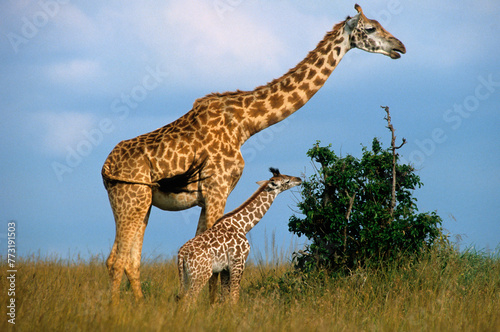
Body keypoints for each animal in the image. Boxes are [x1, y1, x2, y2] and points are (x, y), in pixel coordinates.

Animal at [177, 169, 300, 304]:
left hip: (186, 275)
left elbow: (224, 296)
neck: (243, 226)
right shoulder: (238, 262)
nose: (299, 179)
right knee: (190, 298)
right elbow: (234, 296)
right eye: (287, 180)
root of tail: (181, 254)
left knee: (181, 297)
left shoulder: (225, 268)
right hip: (201, 274)